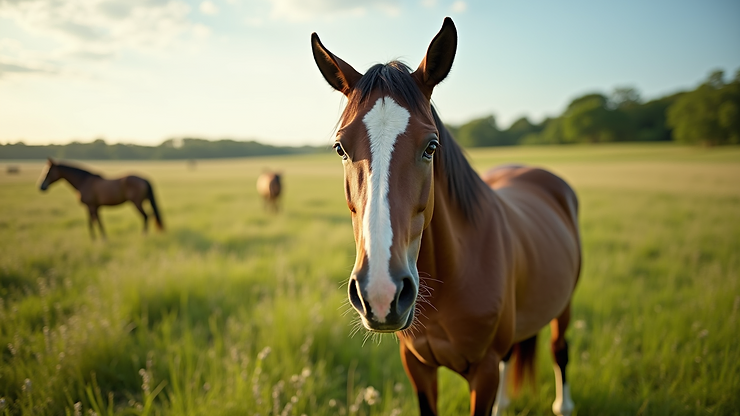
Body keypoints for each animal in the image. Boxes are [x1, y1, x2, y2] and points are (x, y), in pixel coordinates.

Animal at [311, 18, 581, 416]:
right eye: (340, 148)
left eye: (431, 146)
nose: (381, 292)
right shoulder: (418, 366)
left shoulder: (483, 373)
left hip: (564, 304)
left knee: (559, 350)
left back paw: (564, 404)